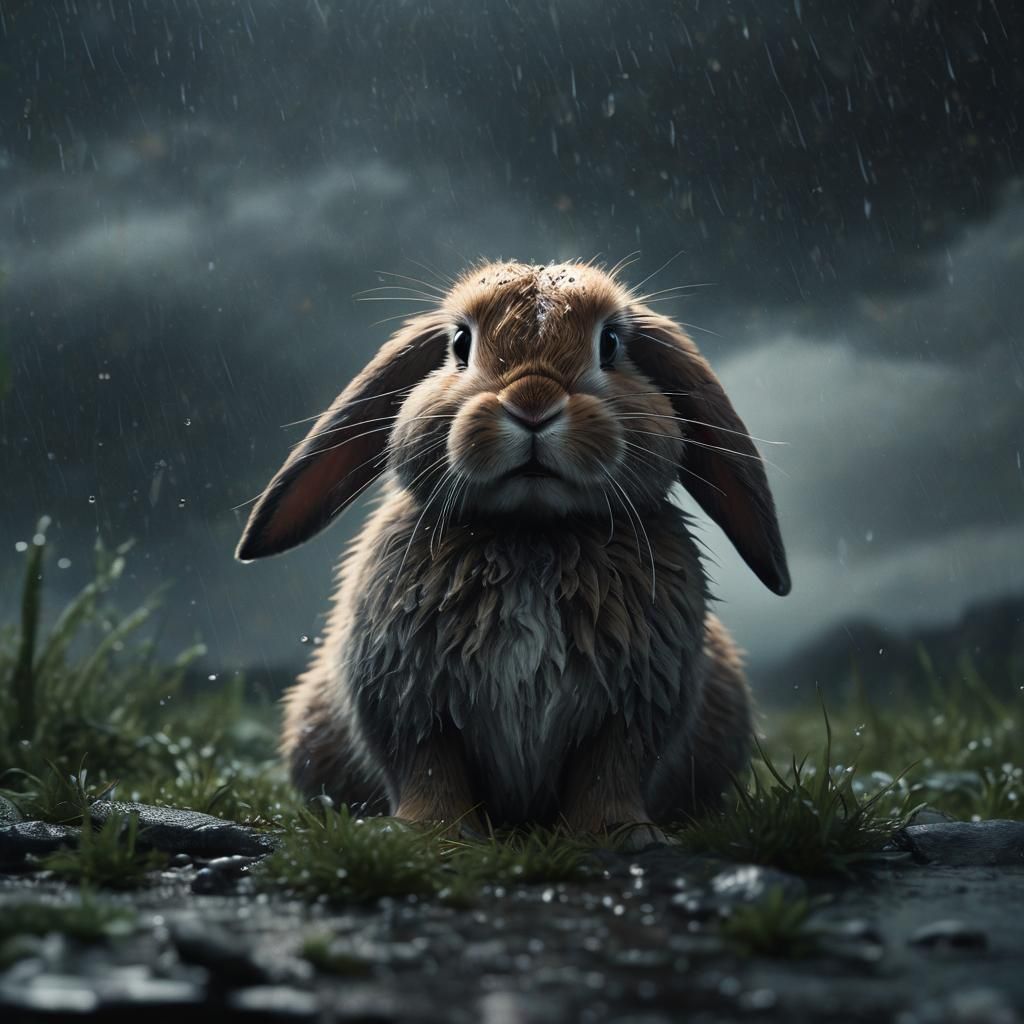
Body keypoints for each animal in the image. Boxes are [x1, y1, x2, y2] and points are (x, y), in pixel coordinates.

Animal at [236, 260, 790, 839]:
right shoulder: (409, 703)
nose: (532, 404)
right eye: (460, 343)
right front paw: (428, 832)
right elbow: (427, 767)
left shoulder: (634, 706)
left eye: (611, 343)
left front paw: (622, 834)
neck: (531, 530)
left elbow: (611, 770)